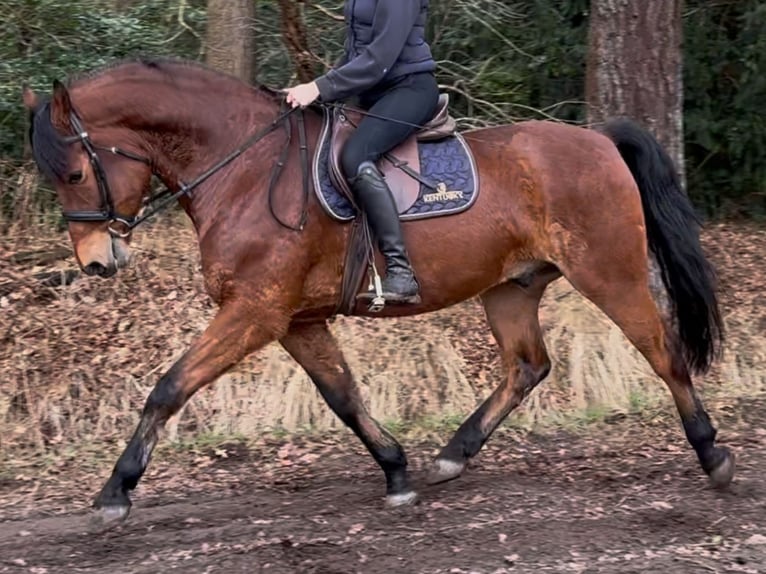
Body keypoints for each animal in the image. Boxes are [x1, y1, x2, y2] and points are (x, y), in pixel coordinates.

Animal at [21, 57, 736, 532]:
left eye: (76, 173)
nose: (96, 263)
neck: (245, 167)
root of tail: (599, 140)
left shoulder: (254, 311)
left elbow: (168, 388)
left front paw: (115, 492)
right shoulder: (295, 319)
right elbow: (342, 396)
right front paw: (395, 471)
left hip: (609, 273)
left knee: (663, 353)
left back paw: (713, 456)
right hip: (510, 288)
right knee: (528, 366)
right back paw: (451, 456)